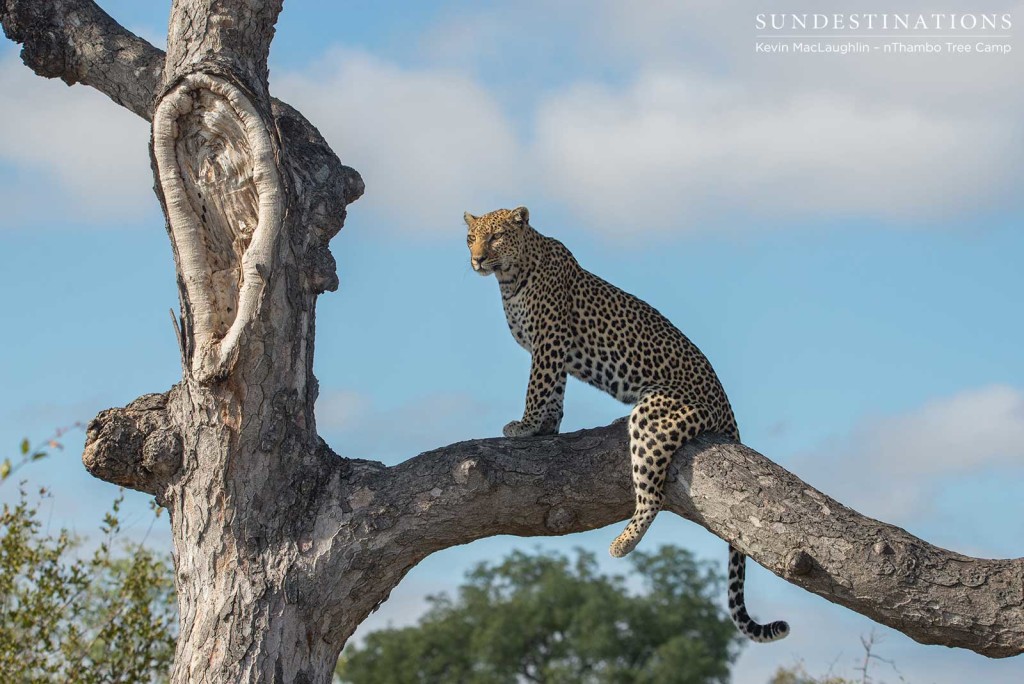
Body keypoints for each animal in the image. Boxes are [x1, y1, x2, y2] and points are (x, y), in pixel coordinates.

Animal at [468, 205, 786, 643]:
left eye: (496, 236)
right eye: (472, 238)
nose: (478, 258)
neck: (510, 277)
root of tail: (728, 411)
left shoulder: (548, 342)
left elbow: (538, 387)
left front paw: (526, 426)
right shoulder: (555, 351)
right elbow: (555, 394)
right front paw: (546, 428)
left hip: (653, 416)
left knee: (652, 496)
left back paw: (621, 544)